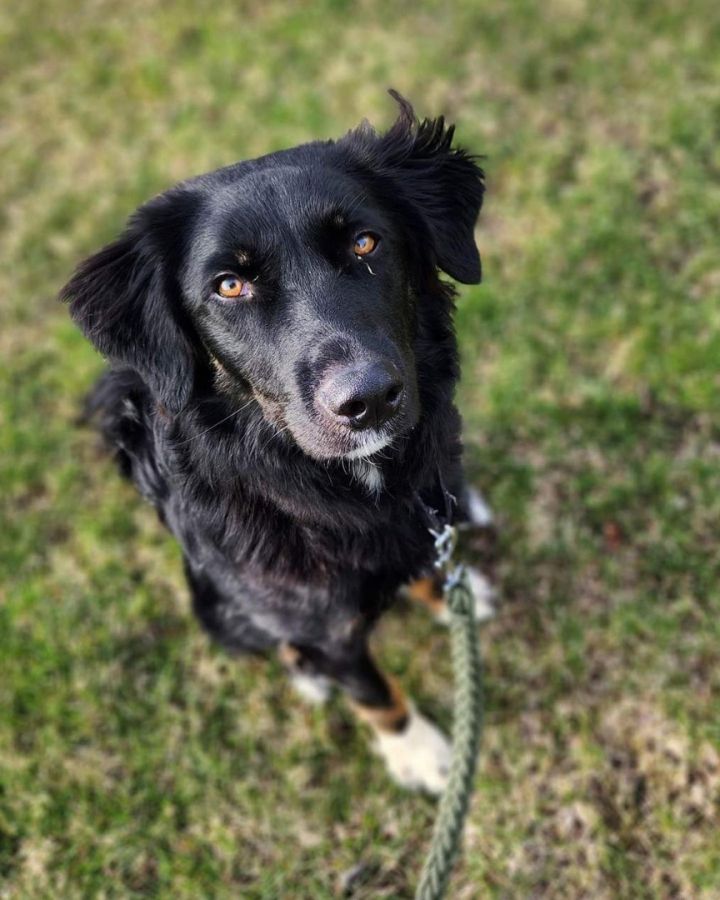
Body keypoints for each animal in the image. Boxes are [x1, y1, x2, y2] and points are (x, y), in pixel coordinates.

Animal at [62, 93, 492, 796]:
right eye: (230, 285)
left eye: (365, 242)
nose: (369, 399)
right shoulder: (323, 624)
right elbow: (371, 688)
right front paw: (421, 752)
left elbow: (430, 561)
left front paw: (454, 594)